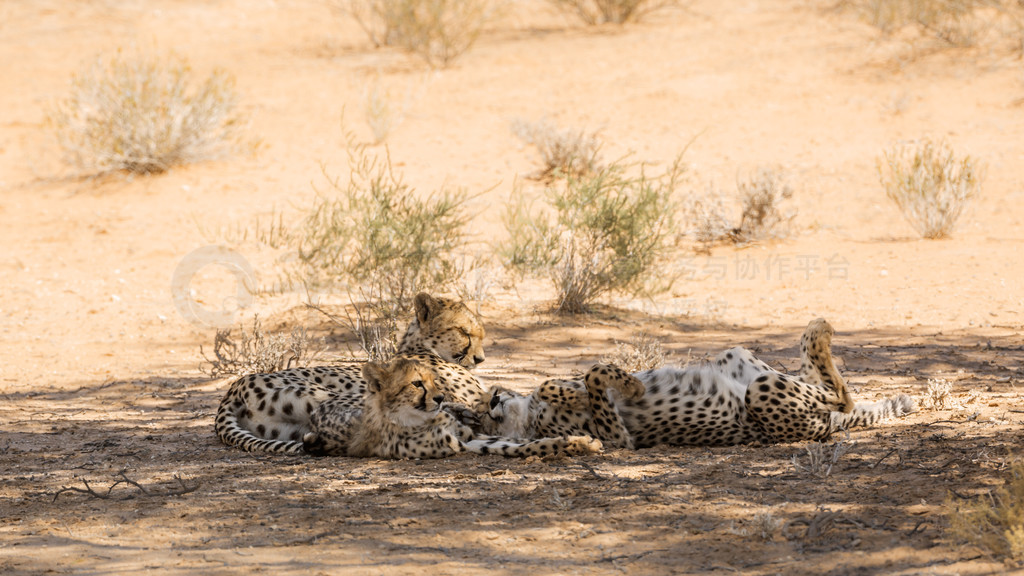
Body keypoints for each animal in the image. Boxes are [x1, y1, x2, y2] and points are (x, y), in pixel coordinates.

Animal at [211, 293, 487, 450]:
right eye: (464, 331)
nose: (480, 358)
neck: (422, 347)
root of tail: (235, 387)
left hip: (289, 429)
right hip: (331, 396)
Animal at [299, 356, 602, 459]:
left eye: (434, 380)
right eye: (417, 384)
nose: (440, 397)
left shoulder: (469, 435)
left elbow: (522, 442)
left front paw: (578, 442)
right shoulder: (462, 444)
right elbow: (522, 446)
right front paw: (576, 443)